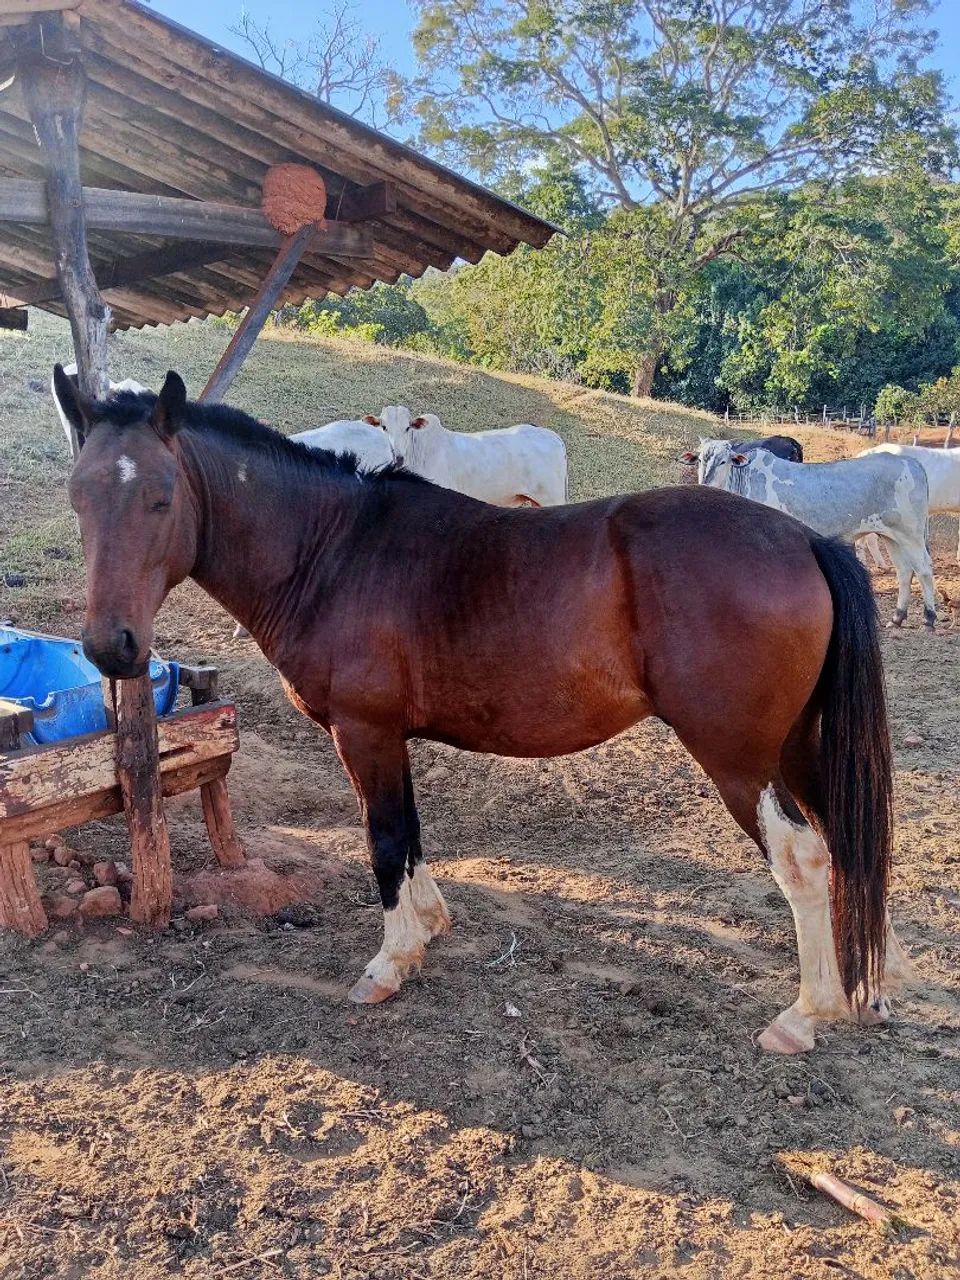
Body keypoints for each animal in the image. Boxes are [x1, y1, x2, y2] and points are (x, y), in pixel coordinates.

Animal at [54, 366, 911, 1055]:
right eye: (79, 496)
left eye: (162, 498)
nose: (112, 647)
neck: (334, 549)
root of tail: (804, 541)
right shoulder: (386, 738)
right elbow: (409, 833)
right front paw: (429, 928)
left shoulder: (365, 733)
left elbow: (385, 839)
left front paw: (391, 961)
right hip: (797, 745)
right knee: (849, 835)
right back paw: (870, 987)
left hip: (738, 756)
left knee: (805, 857)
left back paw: (807, 1013)